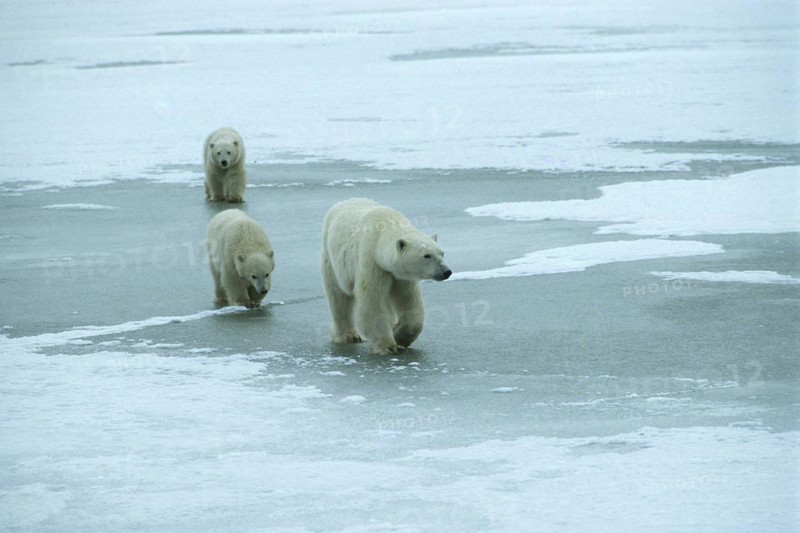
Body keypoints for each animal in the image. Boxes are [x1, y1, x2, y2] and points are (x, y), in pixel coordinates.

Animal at [321, 198, 452, 355]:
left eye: (442, 253)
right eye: (427, 255)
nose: (446, 271)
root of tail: (343, 202)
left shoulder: (401, 275)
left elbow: (408, 301)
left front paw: (399, 336)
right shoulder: (372, 262)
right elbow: (372, 301)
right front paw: (388, 346)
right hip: (332, 260)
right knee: (338, 298)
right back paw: (348, 336)